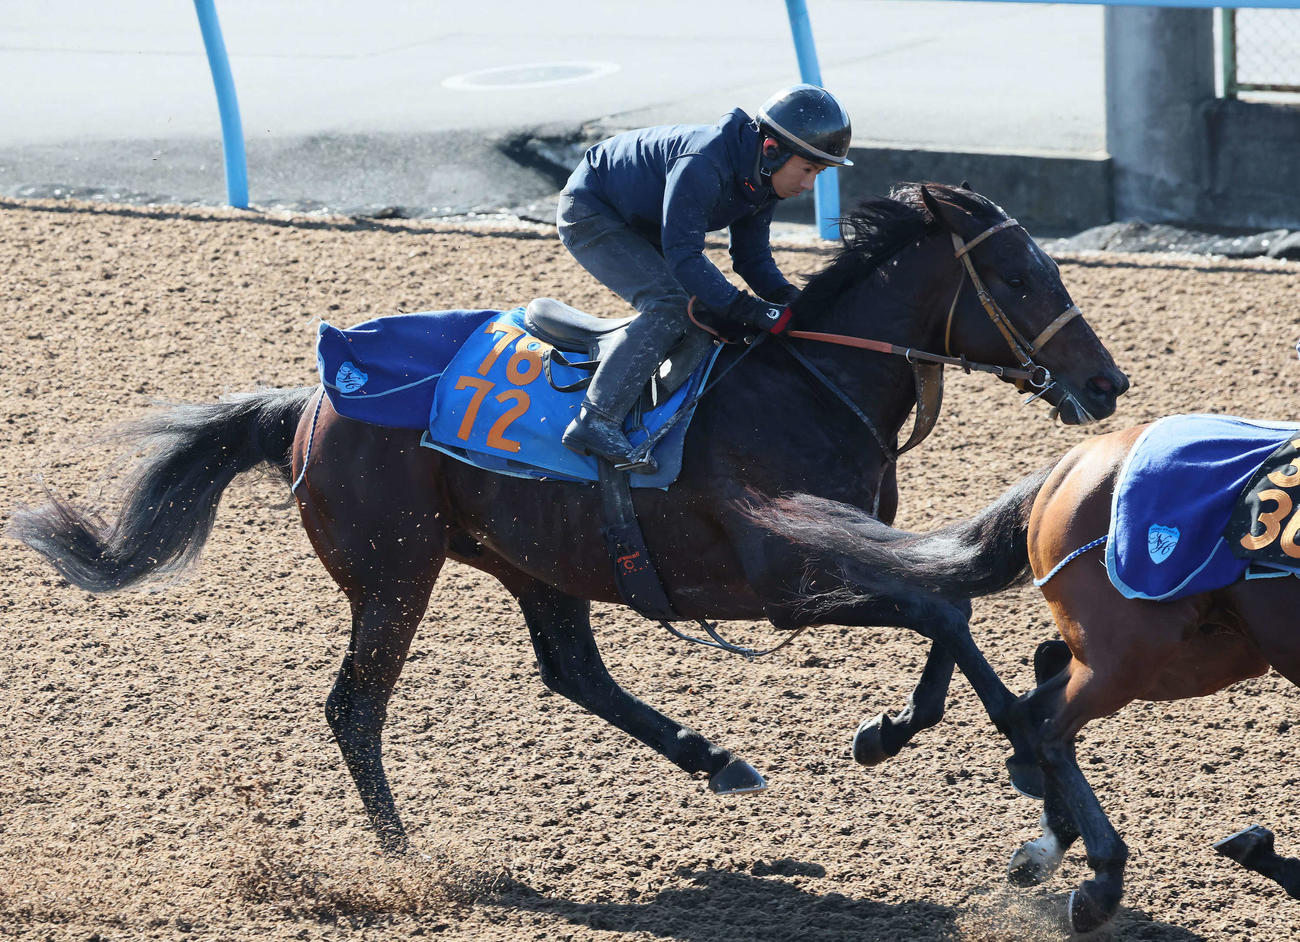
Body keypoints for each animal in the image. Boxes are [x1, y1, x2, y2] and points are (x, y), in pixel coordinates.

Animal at [9, 183, 1127, 857]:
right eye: (1020, 276)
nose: (1106, 383)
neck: (807, 386)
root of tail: (314, 399)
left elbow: (946, 612)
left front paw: (906, 732)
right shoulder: (785, 582)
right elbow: (943, 616)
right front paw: (993, 746)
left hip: (536, 561)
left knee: (572, 671)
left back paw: (713, 759)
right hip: (394, 571)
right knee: (354, 707)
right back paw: (402, 853)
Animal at [752, 418, 1300, 934]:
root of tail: (1073, 462)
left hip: (1209, 649)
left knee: (1035, 697)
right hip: (1137, 647)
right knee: (1047, 725)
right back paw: (1100, 880)